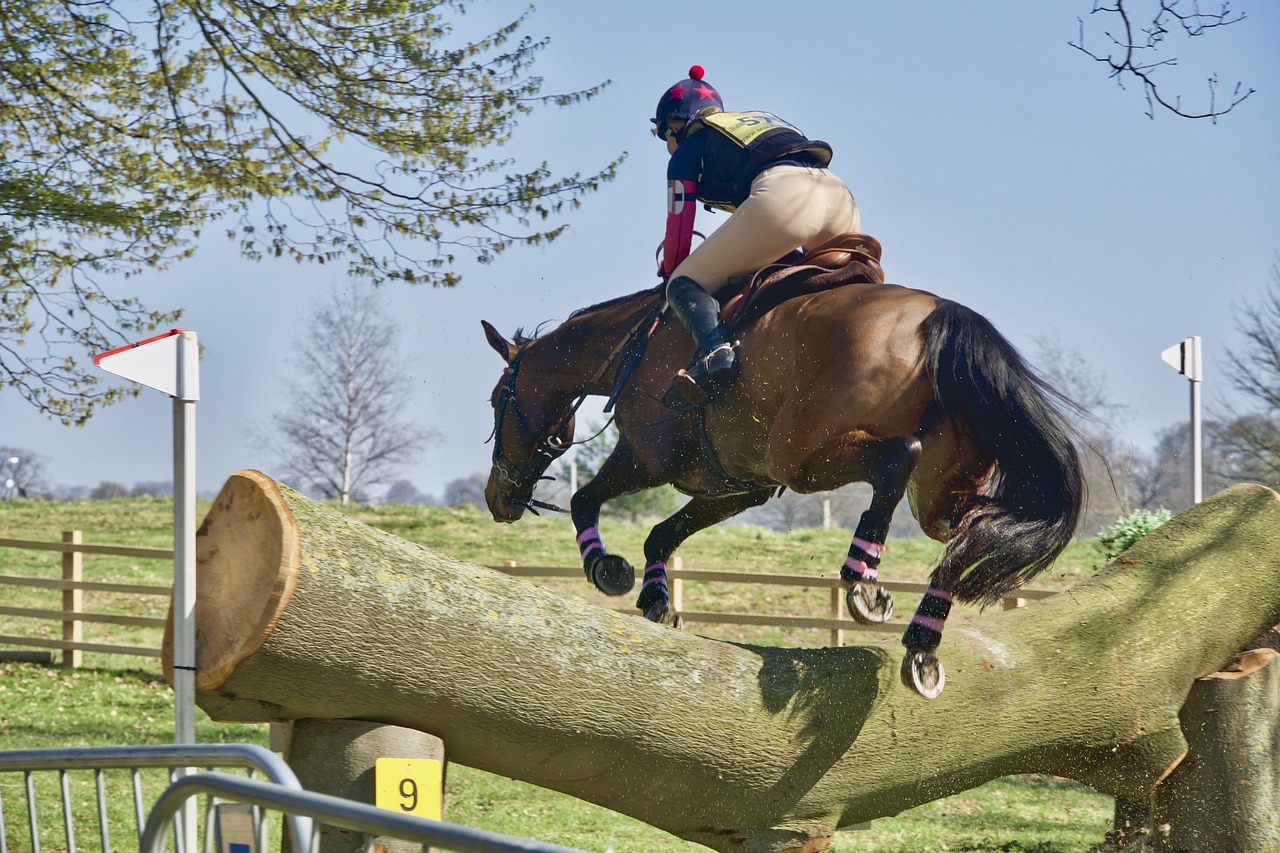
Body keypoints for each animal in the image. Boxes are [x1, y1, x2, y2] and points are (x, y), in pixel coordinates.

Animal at [481, 249, 1080, 696]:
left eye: (495, 400)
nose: (496, 499)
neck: (632, 346)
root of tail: (942, 316)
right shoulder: (736, 486)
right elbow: (660, 535)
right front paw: (655, 599)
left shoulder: (647, 458)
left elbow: (586, 501)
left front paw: (606, 569)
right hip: (938, 491)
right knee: (967, 532)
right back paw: (922, 646)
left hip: (805, 456)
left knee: (896, 460)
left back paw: (863, 580)